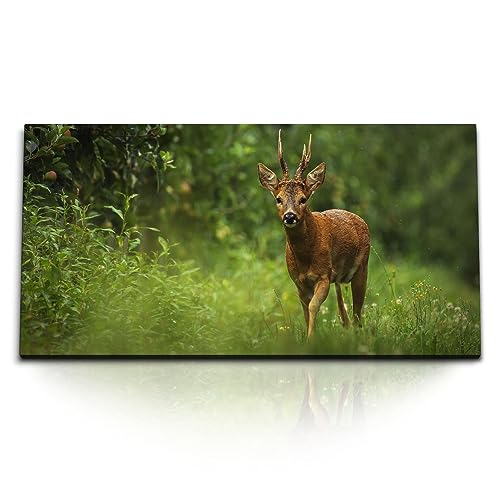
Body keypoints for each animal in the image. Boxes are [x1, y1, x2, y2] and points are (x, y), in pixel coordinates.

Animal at [258, 131, 372, 338]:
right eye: (278, 199)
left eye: (303, 199)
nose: (290, 216)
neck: (305, 257)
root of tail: (360, 219)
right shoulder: (299, 282)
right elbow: (305, 311)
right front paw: (309, 336)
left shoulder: (323, 275)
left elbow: (313, 307)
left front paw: (311, 338)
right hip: (338, 277)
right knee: (344, 311)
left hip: (362, 267)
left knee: (358, 311)